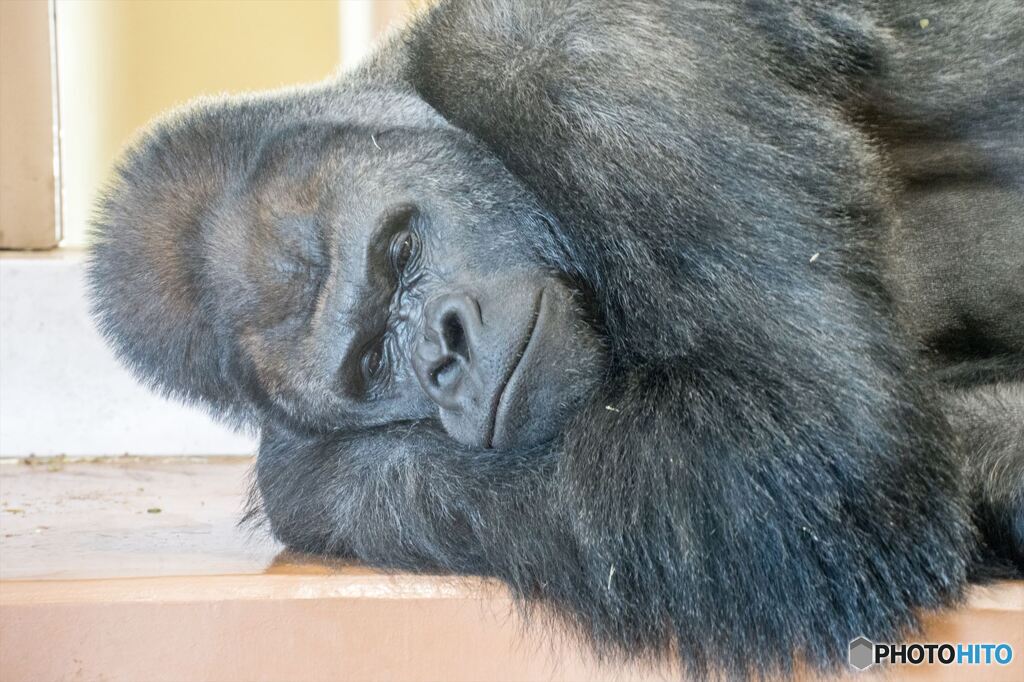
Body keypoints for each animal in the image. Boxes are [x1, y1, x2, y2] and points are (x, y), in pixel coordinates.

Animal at [90, 0, 1024, 675]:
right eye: (369, 358)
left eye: (399, 251)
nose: (445, 352)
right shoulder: (314, 486)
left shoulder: (579, 62)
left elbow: (822, 440)